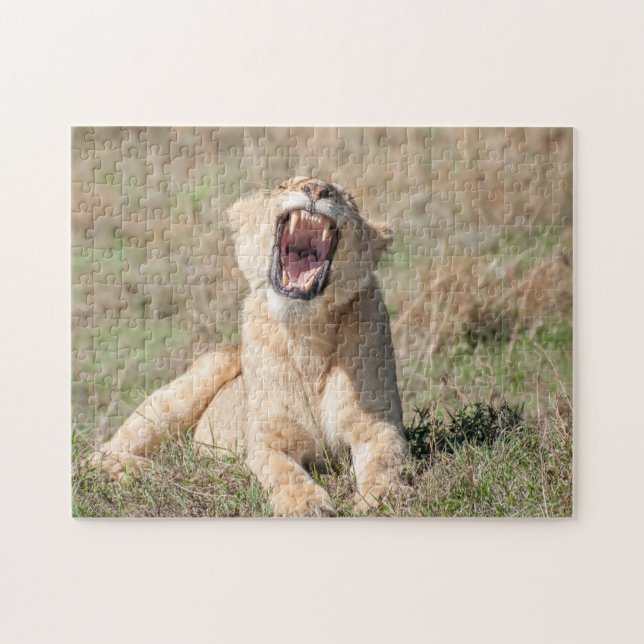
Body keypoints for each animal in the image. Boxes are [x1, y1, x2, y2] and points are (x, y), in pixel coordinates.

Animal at [92, 177, 408, 516]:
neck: (307, 334)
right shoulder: (265, 439)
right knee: (100, 453)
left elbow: (385, 461)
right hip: (194, 382)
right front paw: (305, 504)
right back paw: (146, 470)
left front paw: (383, 498)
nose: (315, 189)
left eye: (346, 198)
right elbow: (283, 471)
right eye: (284, 185)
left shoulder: (377, 424)